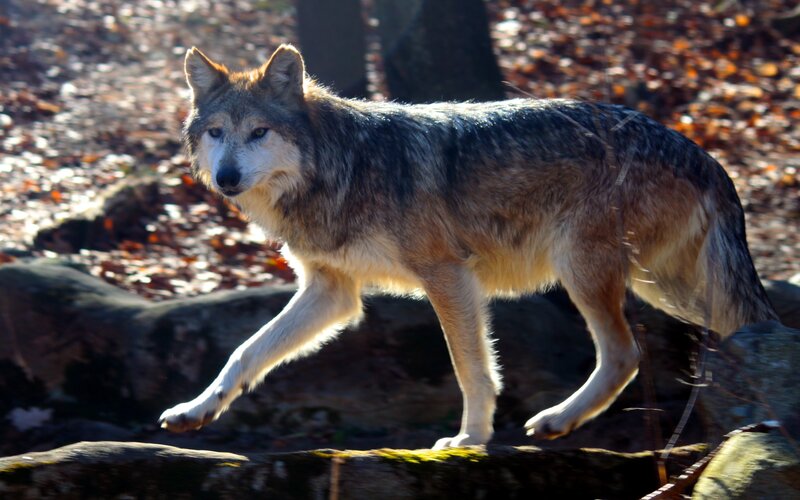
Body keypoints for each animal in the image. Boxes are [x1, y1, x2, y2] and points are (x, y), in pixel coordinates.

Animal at [158, 44, 779, 448]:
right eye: (217, 133)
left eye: (259, 132)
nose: (227, 177)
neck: (344, 166)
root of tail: (702, 153)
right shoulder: (333, 293)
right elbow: (246, 352)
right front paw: (196, 410)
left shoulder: (447, 276)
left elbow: (471, 369)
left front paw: (468, 439)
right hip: (663, 287)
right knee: (739, 328)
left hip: (585, 271)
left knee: (627, 354)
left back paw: (558, 419)